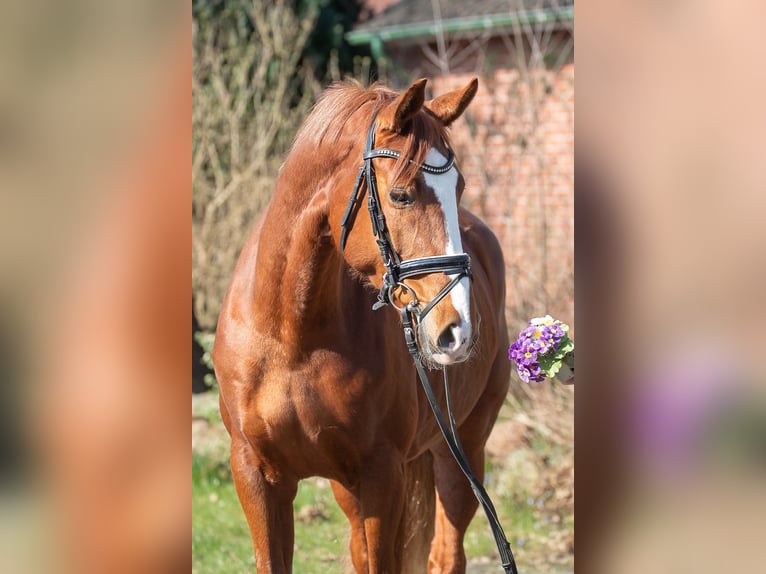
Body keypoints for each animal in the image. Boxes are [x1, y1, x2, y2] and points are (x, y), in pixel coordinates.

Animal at [216, 77, 512, 574]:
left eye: (460, 187)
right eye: (401, 194)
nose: (457, 332)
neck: (290, 338)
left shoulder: (381, 476)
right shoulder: (257, 476)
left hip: (462, 451)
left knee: (448, 552)